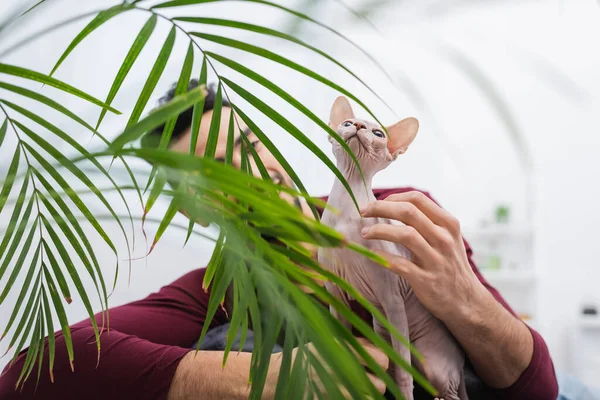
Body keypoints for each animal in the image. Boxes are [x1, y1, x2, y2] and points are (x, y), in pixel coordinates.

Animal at [318, 97, 468, 400]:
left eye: (378, 133)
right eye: (347, 123)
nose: (358, 125)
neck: (345, 215)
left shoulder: (392, 297)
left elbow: (403, 374)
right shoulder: (336, 292)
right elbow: (343, 341)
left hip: (431, 362)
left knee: (445, 389)